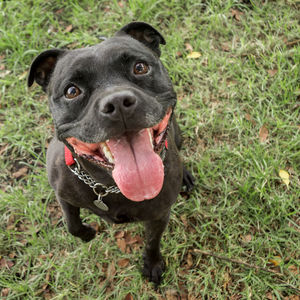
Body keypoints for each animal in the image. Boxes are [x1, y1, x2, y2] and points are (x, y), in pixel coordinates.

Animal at [27, 21, 192, 284]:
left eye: (140, 67)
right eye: (72, 91)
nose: (117, 102)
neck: (109, 185)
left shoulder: (159, 214)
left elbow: (152, 242)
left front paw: (152, 264)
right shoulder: (63, 193)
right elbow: (71, 224)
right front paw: (86, 233)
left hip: (177, 134)